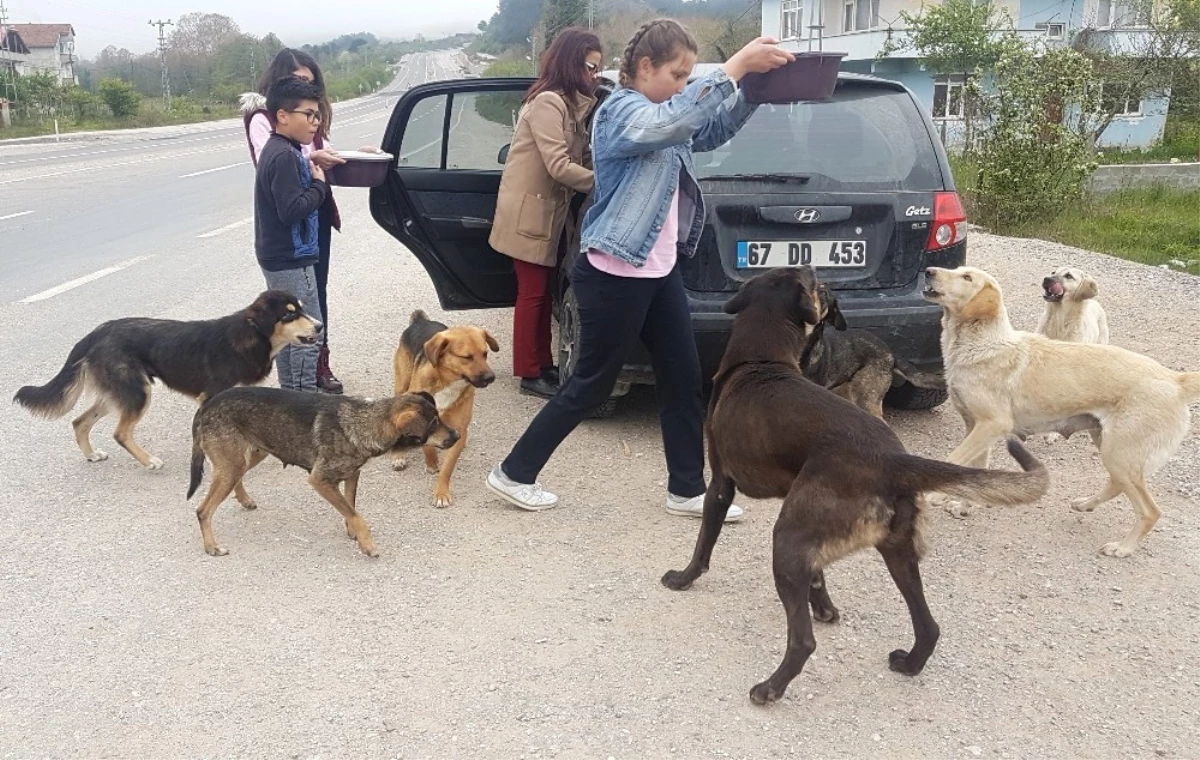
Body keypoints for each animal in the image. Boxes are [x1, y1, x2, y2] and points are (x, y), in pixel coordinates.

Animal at [14, 290, 321, 468]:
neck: (252, 335)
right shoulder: (212, 397)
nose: (319, 326)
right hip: (137, 392)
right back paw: (149, 461)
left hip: (119, 392)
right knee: (120, 433)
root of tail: (98, 332)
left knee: (79, 422)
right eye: (289, 314)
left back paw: (91, 454)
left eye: (301, 309)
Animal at [187, 389, 458, 554]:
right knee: (203, 510)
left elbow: (350, 507)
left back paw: (244, 499)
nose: (457, 435)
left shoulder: (351, 475)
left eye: (439, 417)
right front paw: (367, 545)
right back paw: (212, 547)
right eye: (433, 424)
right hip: (233, 464)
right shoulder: (320, 480)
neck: (362, 421)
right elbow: (355, 514)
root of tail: (206, 406)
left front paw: (353, 533)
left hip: (250, 455)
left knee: (236, 479)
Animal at [393, 307, 496, 509]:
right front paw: (431, 461)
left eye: (485, 353)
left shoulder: (458, 427)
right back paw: (399, 456)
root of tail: (420, 321)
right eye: (467, 357)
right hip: (401, 386)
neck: (448, 382)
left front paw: (441, 493)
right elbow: (427, 445)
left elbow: (447, 468)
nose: (491, 377)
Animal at [662, 267, 1046, 705]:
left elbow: (703, 545)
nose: (814, 269)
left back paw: (771, 687)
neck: (760, 361)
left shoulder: (721, 485)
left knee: (803, 642)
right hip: (897, 550)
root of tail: (893, 460)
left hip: (788, 538)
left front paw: (683, 578)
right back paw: (910, 663)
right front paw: (825, 607)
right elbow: (817, 577)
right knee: (929, 626)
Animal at [921, 266, 1195, 557]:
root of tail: (1176, 380)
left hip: (1120, 454)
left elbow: (954, 459)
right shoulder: (975, 427)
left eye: (967, 278)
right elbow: (977, 470)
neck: (981, 344)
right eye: (958, 271)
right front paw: (964, 507)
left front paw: (936, 493)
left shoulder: (992, 425)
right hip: (1110, 448)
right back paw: (1086, 504)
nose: (928, 270)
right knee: (1117, 485)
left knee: (1150, 511)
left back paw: (1123, 547)